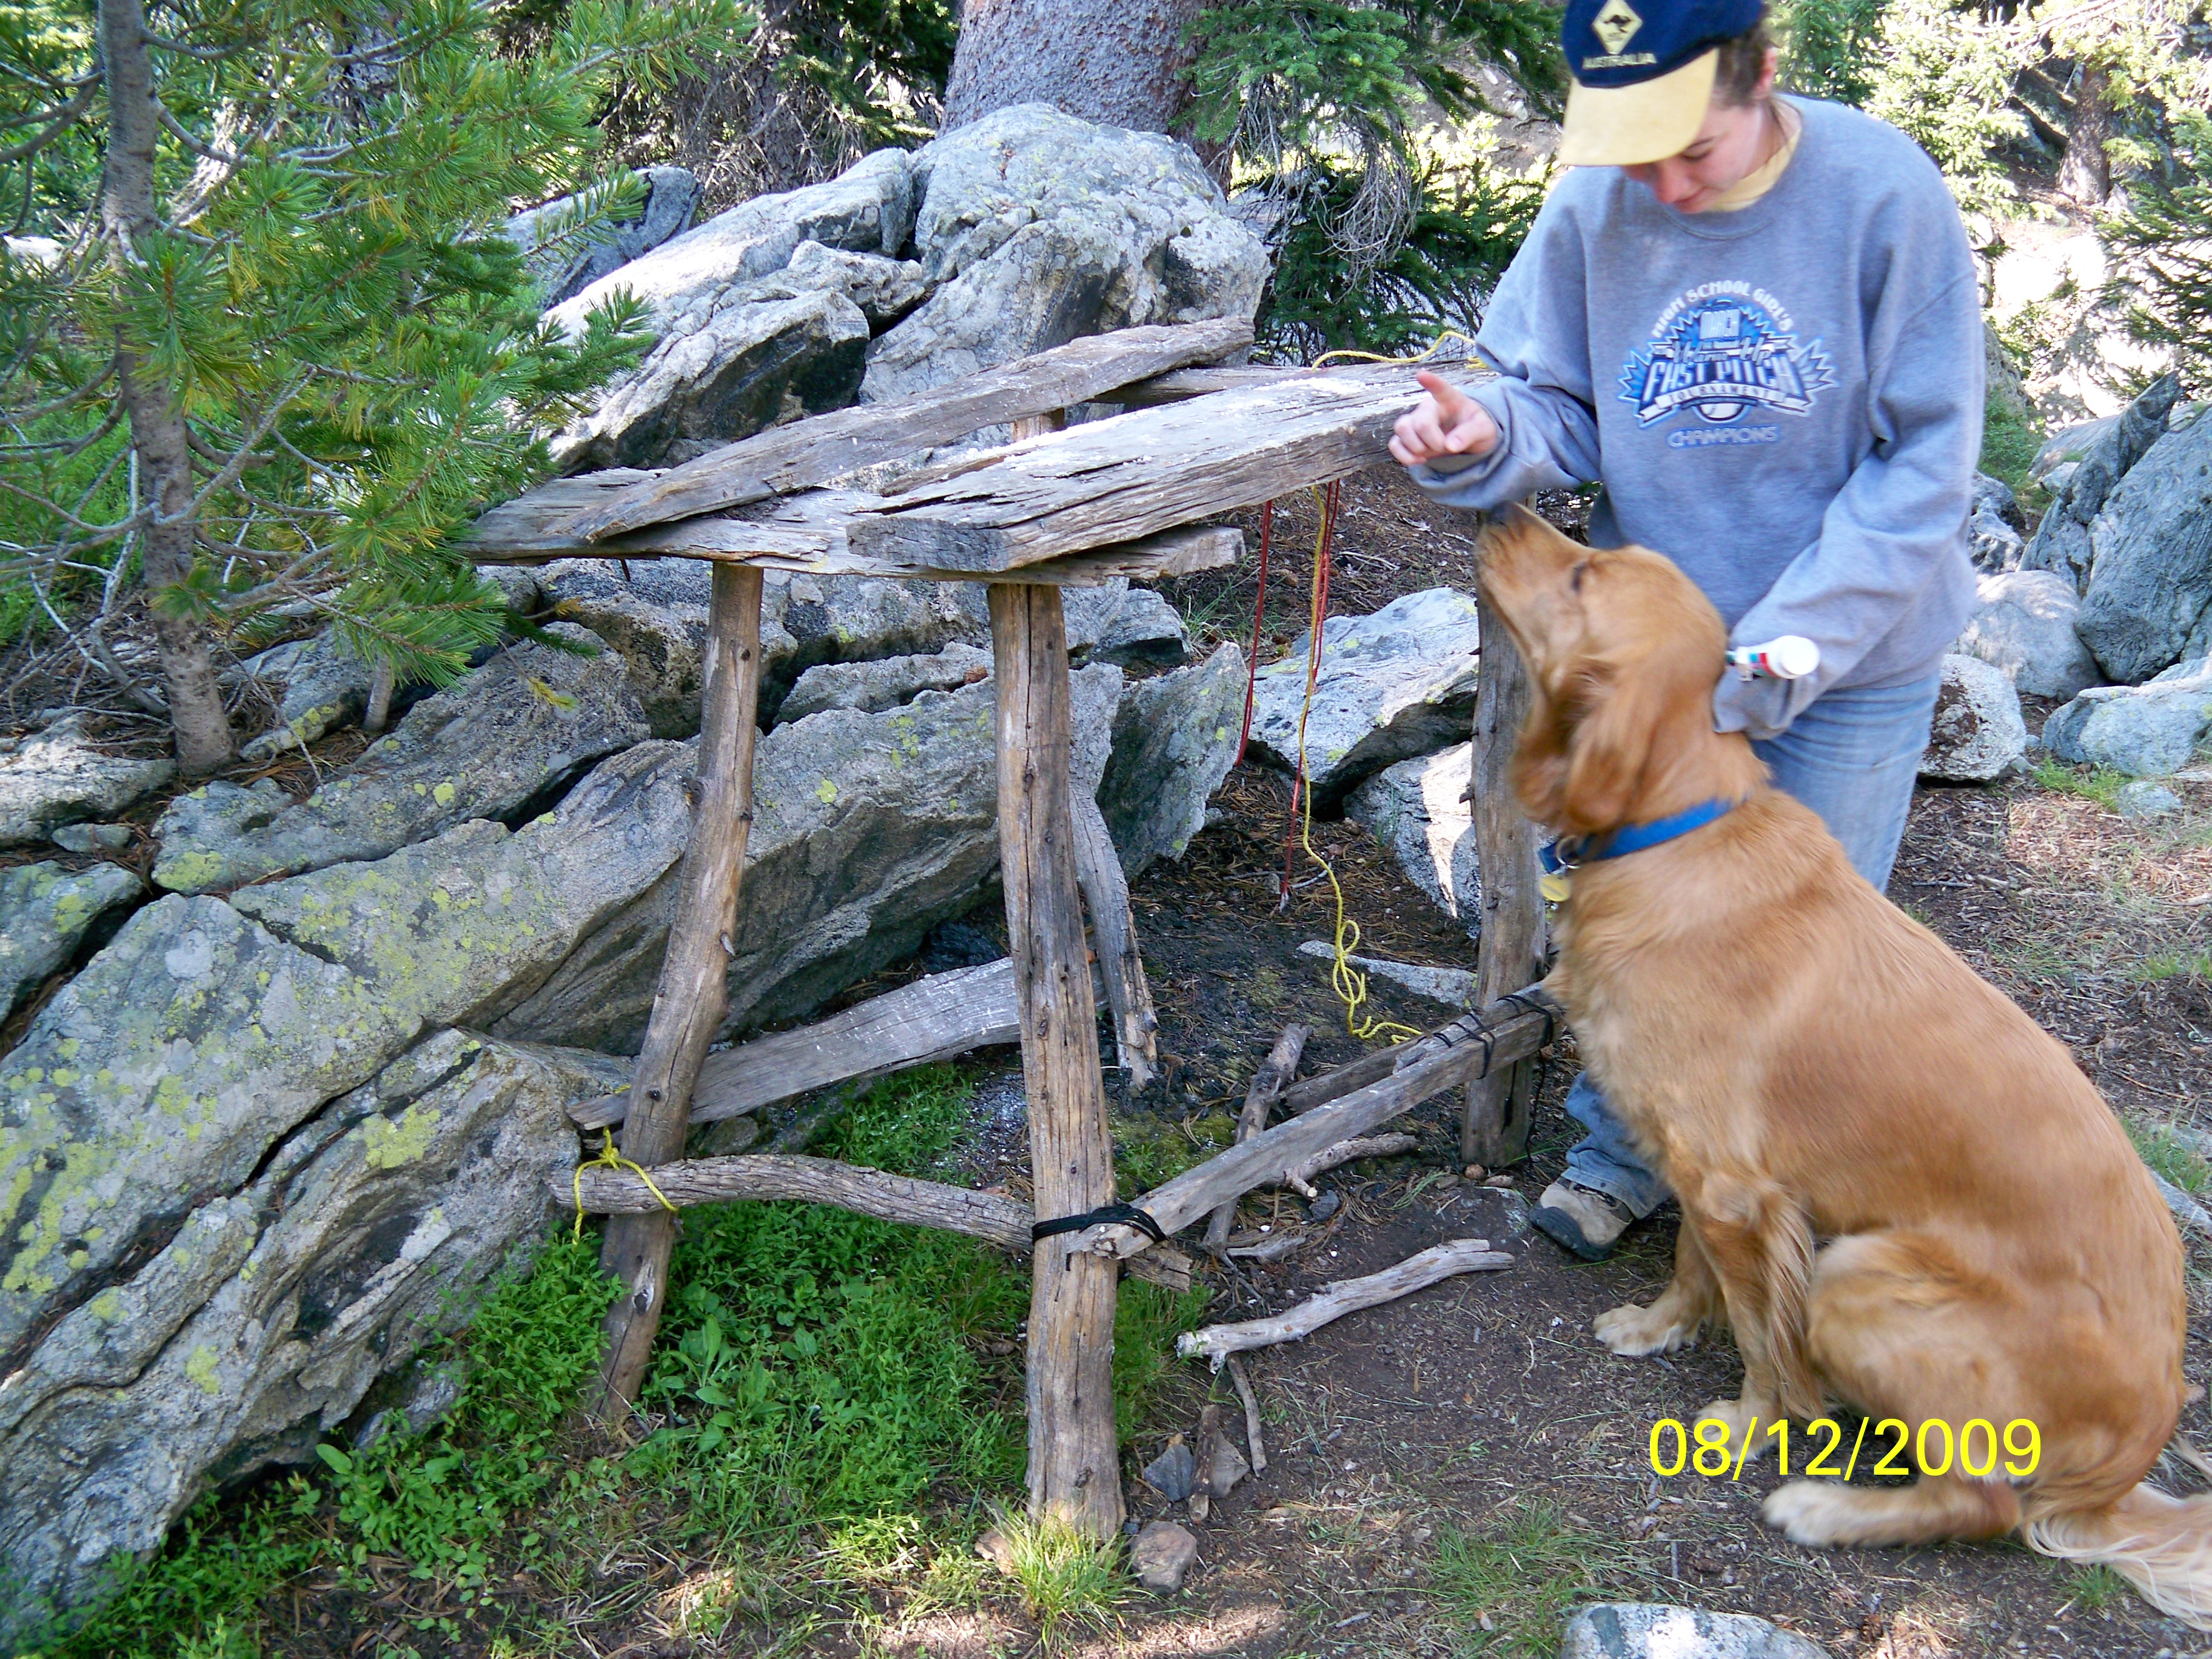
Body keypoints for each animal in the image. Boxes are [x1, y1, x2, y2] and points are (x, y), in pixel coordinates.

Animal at [1469, 504, 2212, 1627]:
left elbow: (1760, 1334)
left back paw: (1829, 1508)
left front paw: (1745, 1427)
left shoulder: (1735, 1189)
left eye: (1584, 575)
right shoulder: (1716, 1180)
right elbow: (1694, 1269)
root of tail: (2126, 1462)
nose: (1504, 509)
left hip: (1859, 1275)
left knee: (1986, 1501)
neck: (1676, 828)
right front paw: (1658, 1327)